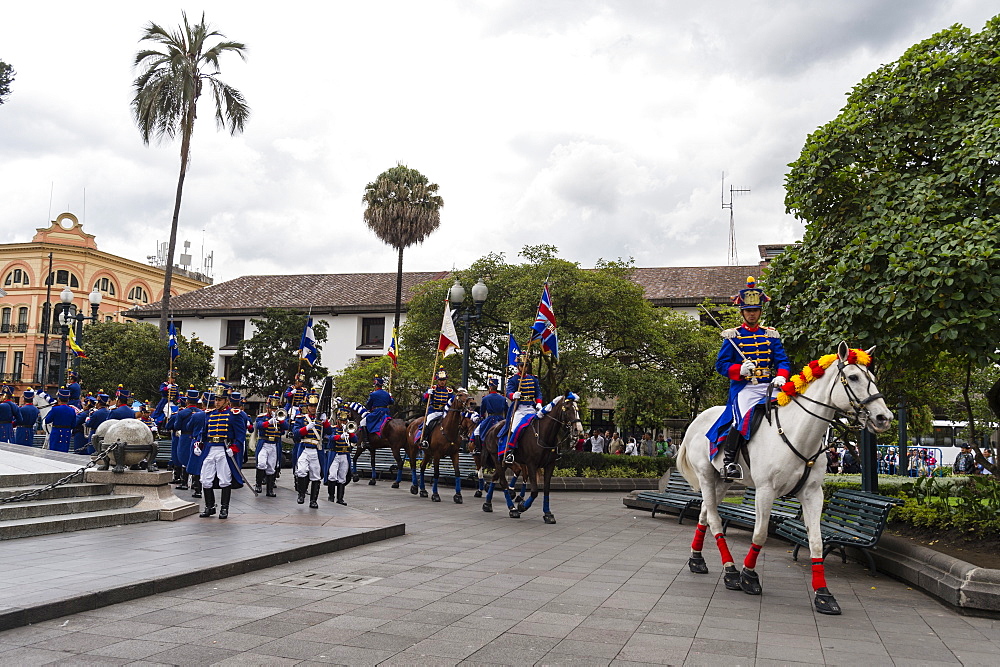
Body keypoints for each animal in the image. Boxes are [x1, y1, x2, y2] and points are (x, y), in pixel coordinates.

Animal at [480, 394, 584, 524]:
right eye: (568, 407)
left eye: (577, 409)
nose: (578, 430)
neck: (544, 435)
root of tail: (492, 428)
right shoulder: (531, 464)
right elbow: (534, 491)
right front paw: (522, 506)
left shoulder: (550, 465)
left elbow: (546, 489)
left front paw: (548, 514)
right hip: (497, 459)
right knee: (503, 482)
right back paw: (512, 509)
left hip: (503, 462)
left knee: (495, 477)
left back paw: (487, 504)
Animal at [676, 344, 896, 616]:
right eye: (853, 377)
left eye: (873, 378)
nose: (884, 418)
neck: (799, 433)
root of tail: (697, 420)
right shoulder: (765, 491)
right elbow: (759, 534)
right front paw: (749, 577)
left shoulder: (813, 494)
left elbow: (816, 542)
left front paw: (823, 594)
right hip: (706, 477)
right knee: (715, 521)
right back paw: (730, 571)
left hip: (722, 481)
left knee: (705, 515)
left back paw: (697, 559)